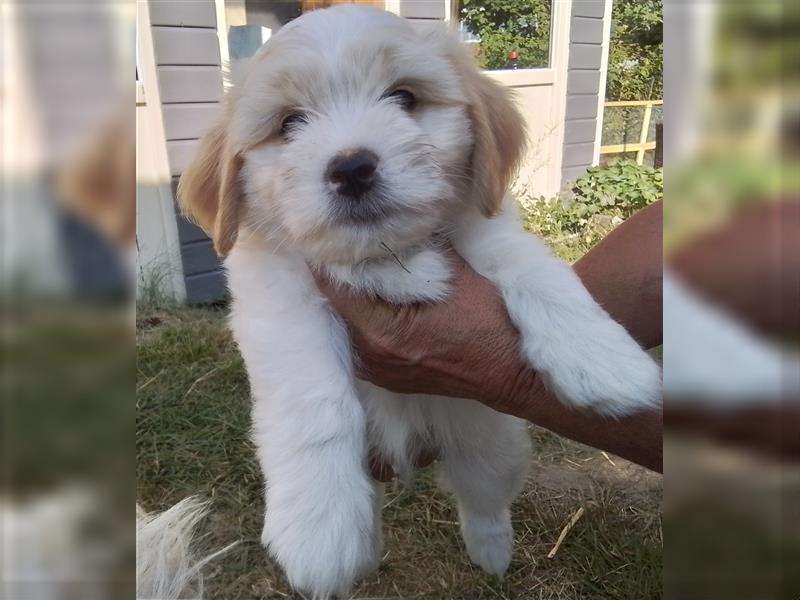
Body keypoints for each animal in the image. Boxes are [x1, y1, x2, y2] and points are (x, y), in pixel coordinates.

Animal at [181, 5, 664, 600]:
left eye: (404, 97)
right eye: (290, 123)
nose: (352, 168)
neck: (384, 255)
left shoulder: (484, 226)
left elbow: (535, 269)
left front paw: (604, 361)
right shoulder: (277, 293)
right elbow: (313, 399)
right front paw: (319, 526)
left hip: (493, 442)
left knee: (484, 499)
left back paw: (492, 552)